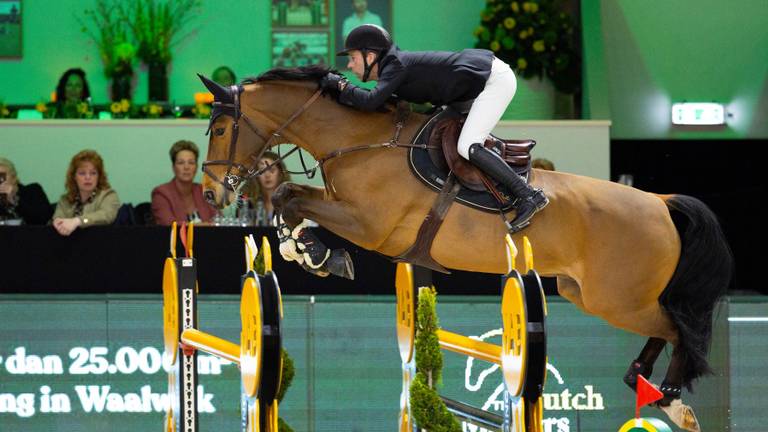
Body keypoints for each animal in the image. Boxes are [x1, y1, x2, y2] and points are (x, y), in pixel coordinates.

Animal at [198, 66, 732, 430]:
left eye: (221, 129)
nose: (211, 194)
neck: (359, 142)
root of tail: (658, 201)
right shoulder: (344, 209)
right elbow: (289, 199)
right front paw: (307, 251)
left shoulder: (369, 225)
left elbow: (289, 198)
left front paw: (320, 254)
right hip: (585, 293)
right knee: (666, 328)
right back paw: (645, 383)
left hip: (618, 299)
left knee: (681, 328)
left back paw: (673, 400)